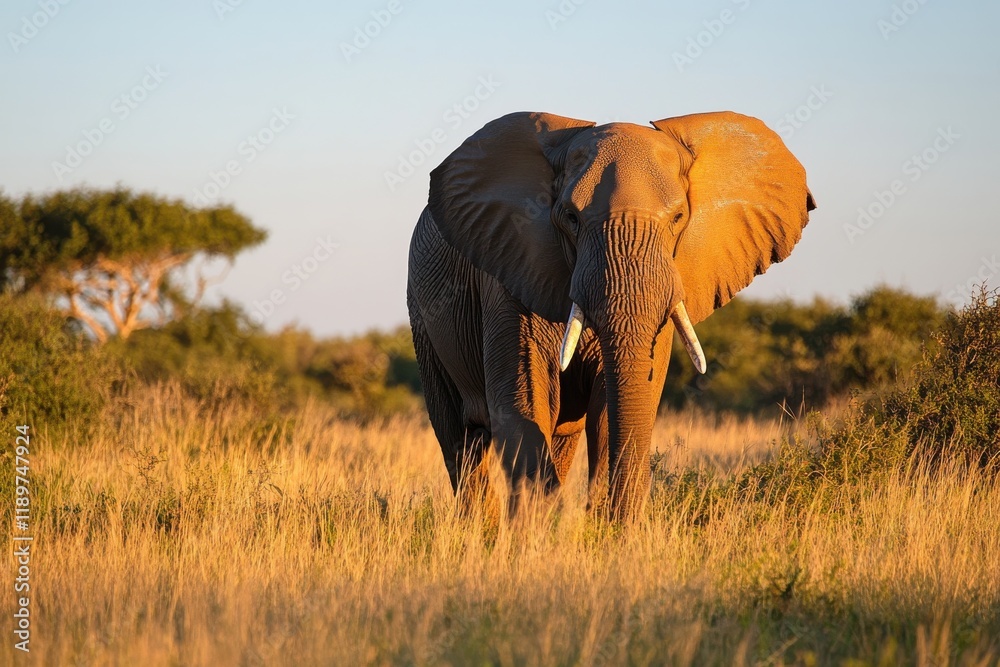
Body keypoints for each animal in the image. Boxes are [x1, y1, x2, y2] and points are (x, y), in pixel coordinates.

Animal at [407, 111, 815, 522]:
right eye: (571, 218)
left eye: (679, 217)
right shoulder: (508, 273)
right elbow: (521, 406)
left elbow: (608, 413)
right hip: (422, 315)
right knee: (460, 441)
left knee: (558, 438)